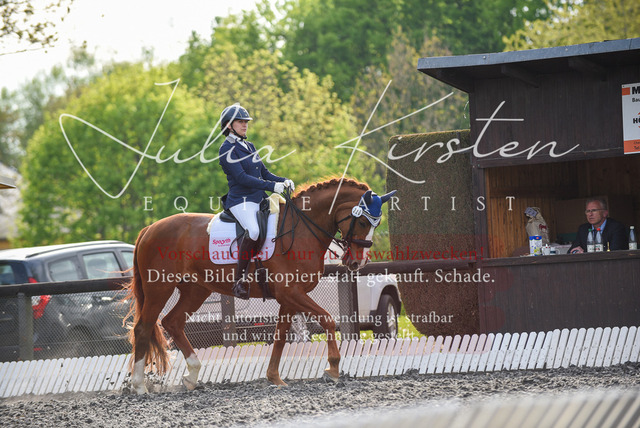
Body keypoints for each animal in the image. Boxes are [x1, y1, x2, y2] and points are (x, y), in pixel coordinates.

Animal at [125, 178, 395, 393]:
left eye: (376, 224)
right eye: (363, 223)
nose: (358, 262)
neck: (301, 229)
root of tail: (150, 228)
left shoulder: (289, 297)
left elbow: (280, 336)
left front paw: (274, 378)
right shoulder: (291, 293)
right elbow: (327, 319)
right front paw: (333, 369)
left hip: (196, 290)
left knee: (173, 322)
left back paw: (191, 376)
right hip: (159, 288)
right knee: (143, 328)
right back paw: (139, 386)